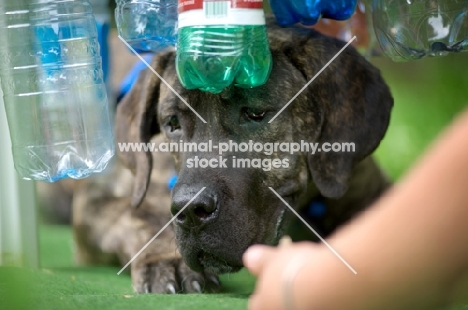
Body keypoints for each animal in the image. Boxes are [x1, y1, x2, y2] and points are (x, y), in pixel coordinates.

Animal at [73, 16, 394, 294]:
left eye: (255, 113)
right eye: (173, 123)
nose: (191, 210)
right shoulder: (97, 201)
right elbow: (134, 215)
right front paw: (165, 258)